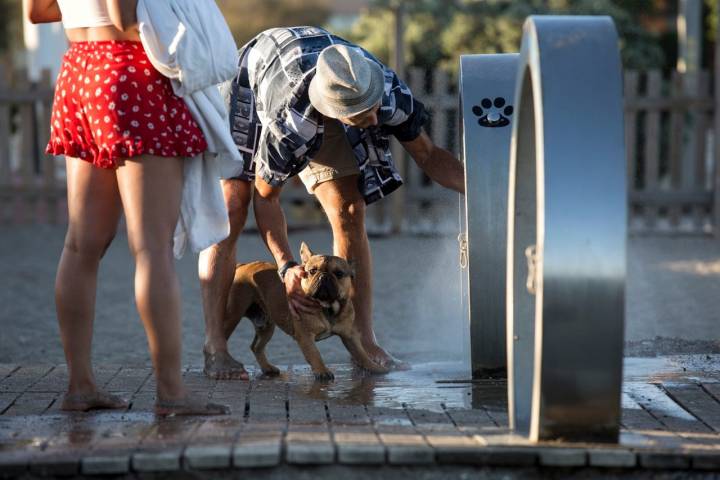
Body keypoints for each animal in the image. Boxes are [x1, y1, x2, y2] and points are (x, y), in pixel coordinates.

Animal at [222, 242, 388, 380]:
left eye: (339, 274)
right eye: (312, 271)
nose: (324, 276)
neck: (327, 306)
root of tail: (243, 266)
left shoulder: (349, 335)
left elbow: (361, 354)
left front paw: (375, 368)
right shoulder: (306, 336)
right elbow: (315, 354)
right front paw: (322, 371)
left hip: (266, 326)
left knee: (256, 346)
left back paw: (268, 368)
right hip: (233, 314)